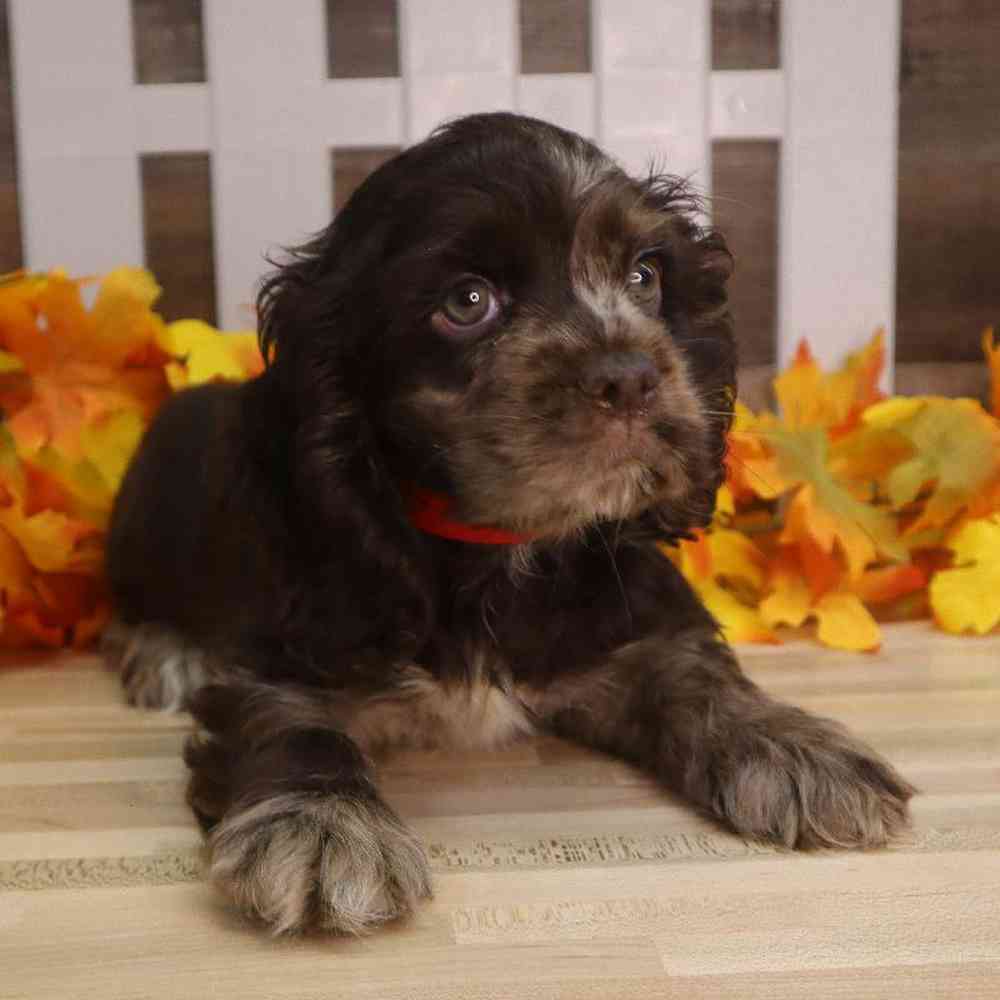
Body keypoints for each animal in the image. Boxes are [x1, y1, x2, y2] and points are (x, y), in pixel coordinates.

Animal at [103, 113, 916, 932]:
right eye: (468, 302)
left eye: (645, 276)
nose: (631, 376)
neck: (501, 547)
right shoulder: (292, 638)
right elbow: (285, 718)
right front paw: (320, 824)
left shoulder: (627, 608)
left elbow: (694, 669)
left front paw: (796, 748)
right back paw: (167, 655)